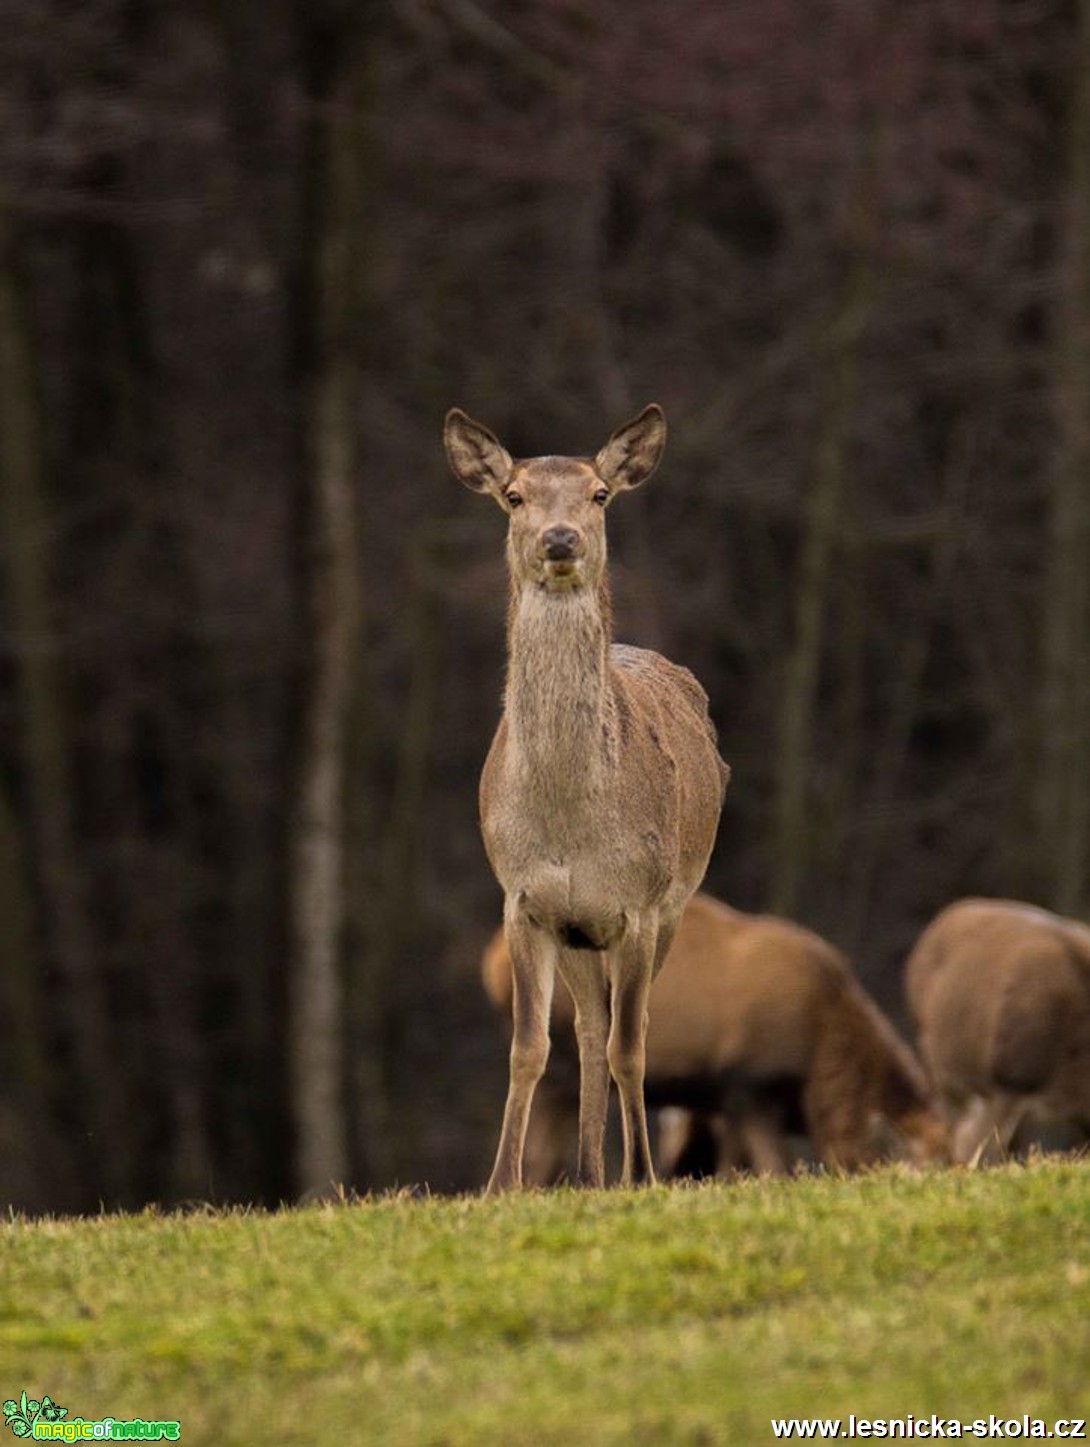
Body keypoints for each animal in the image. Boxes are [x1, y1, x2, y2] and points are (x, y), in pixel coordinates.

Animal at [445, 402, 726, 1192]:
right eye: (513, 494)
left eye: (599, 493)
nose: (560, 537)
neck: (571, 821)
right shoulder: (526, 900)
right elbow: (529, 1046)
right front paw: (499, 1183)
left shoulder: (639, 903)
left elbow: (632, 1045)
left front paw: (645, 1176)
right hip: (580, 931)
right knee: (588, 1024)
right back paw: (587, 1171)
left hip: (673, 907)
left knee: (624, 1029)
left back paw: (616, 1171)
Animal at [480, 885, 949, 1180]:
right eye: (909, 1166)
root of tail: (493, 963)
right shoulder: (750, 1089)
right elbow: (772, 1169)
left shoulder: (723, 1102)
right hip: (560, 1070)